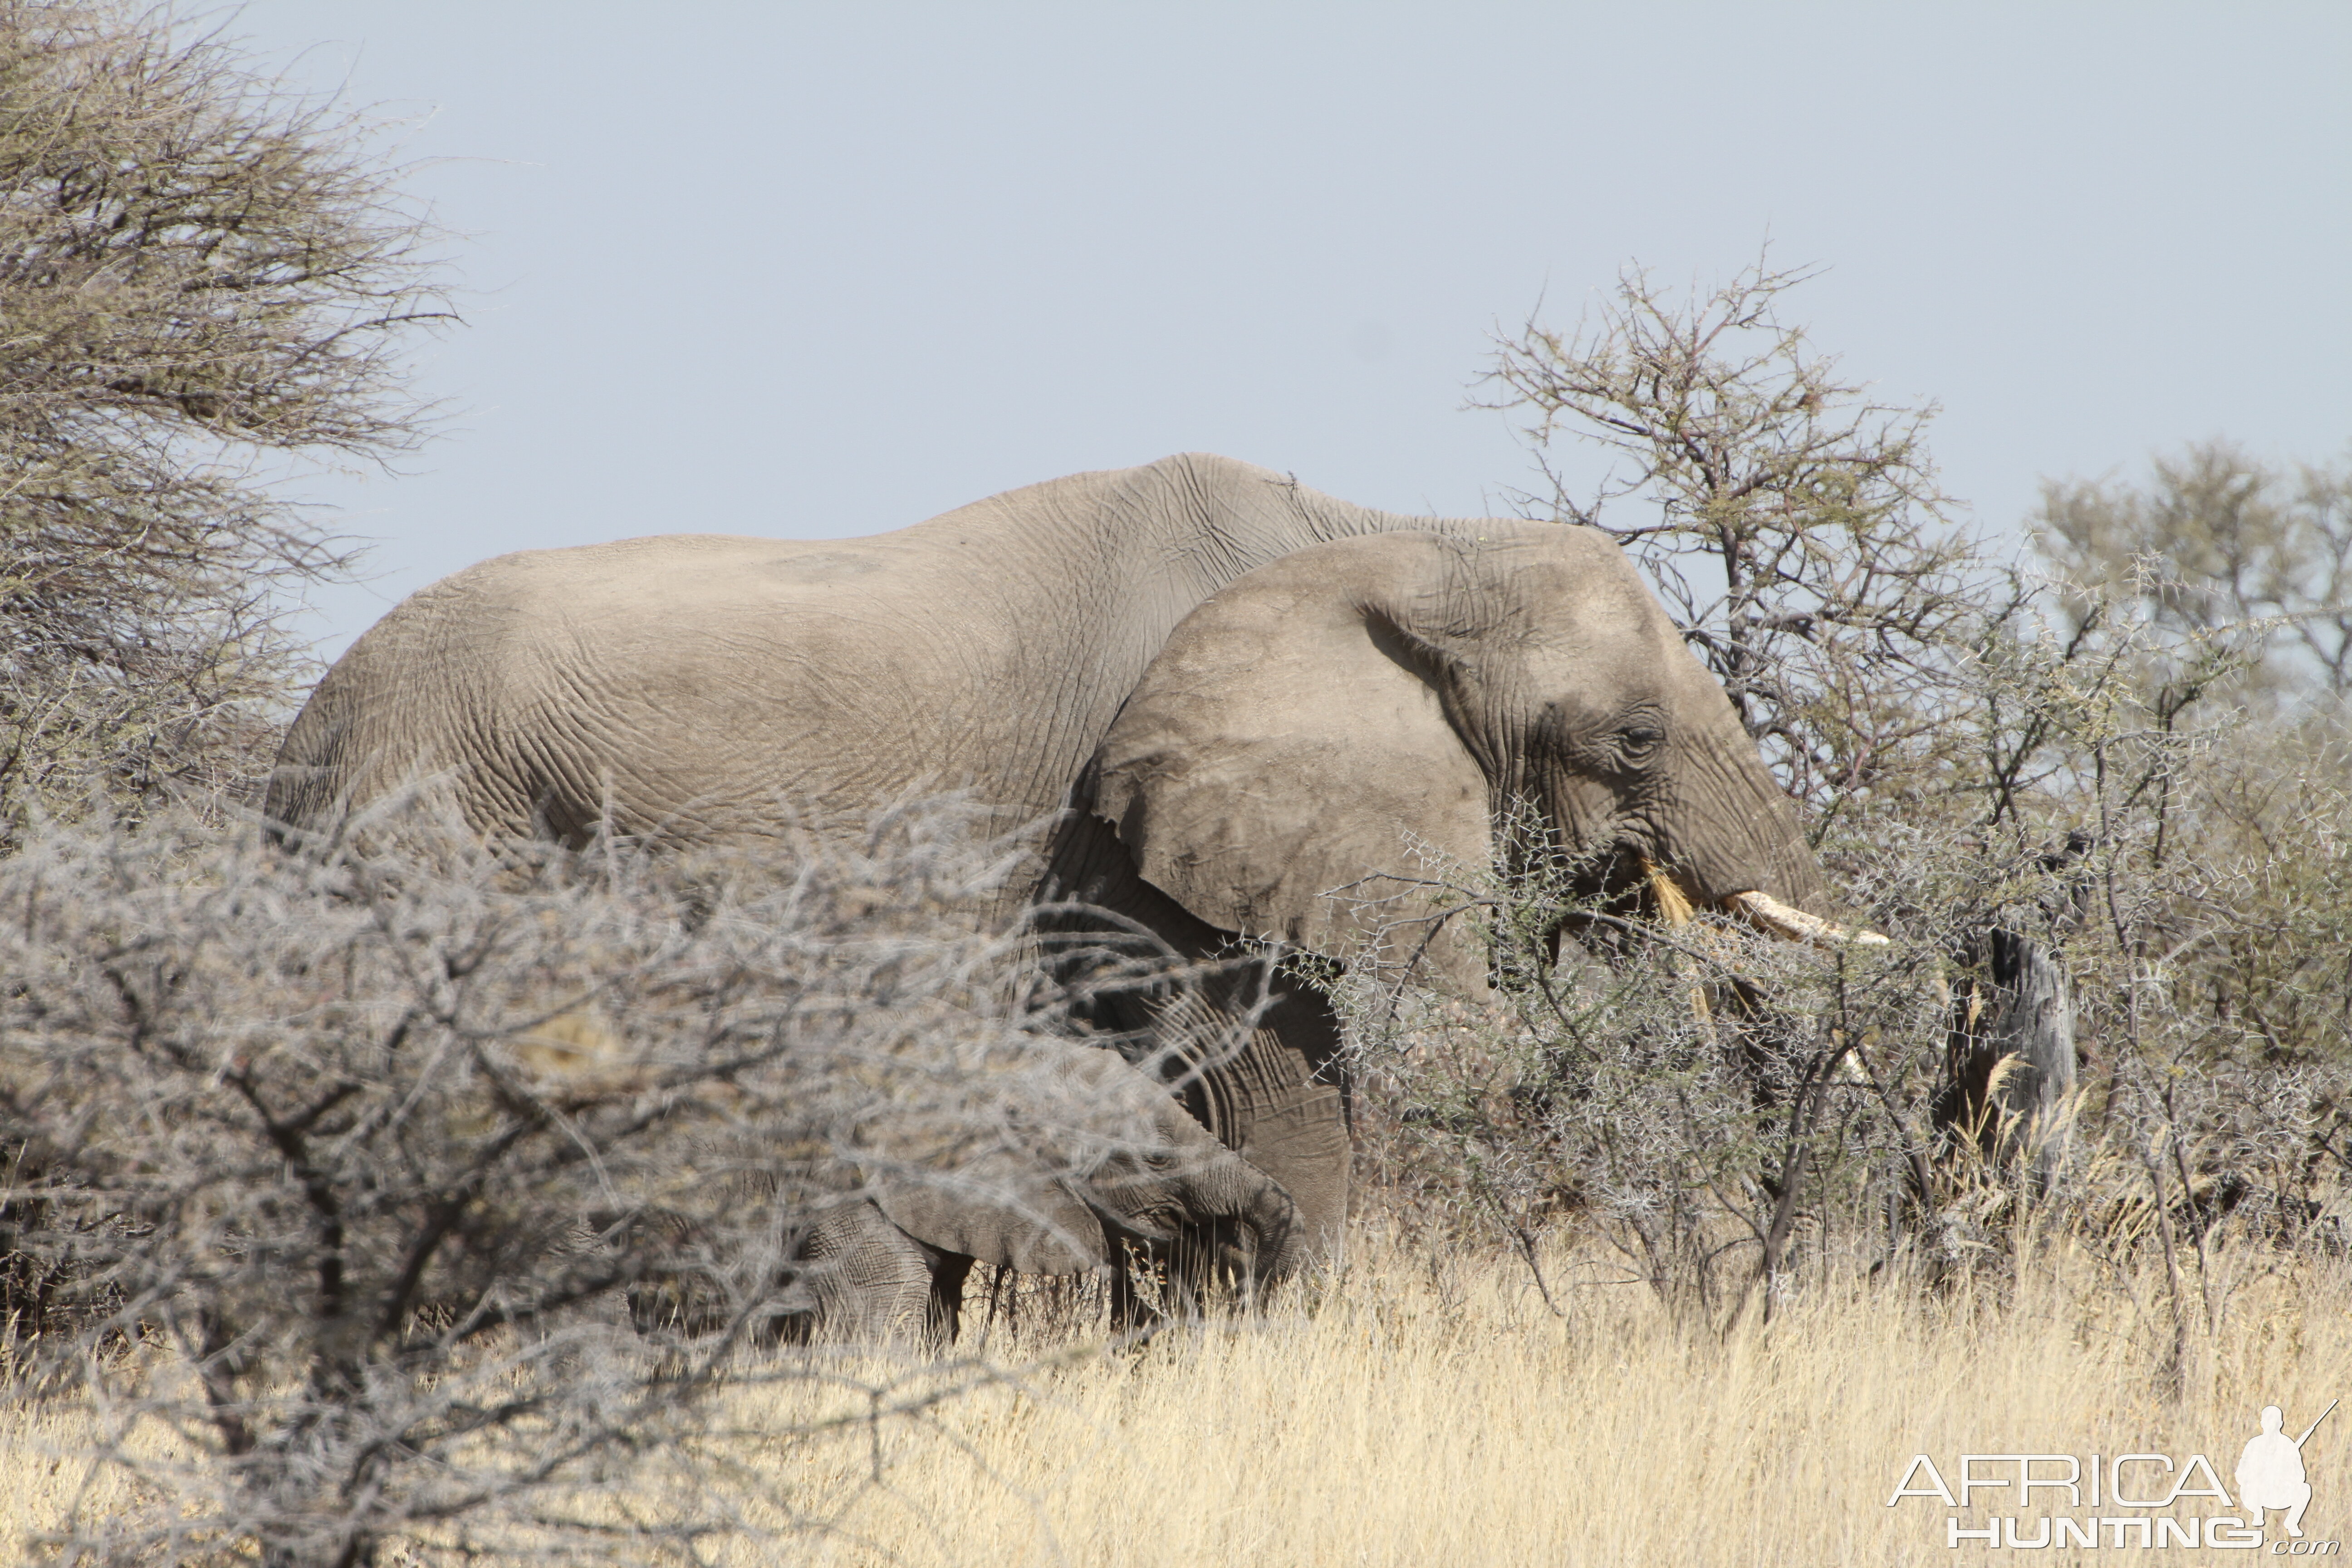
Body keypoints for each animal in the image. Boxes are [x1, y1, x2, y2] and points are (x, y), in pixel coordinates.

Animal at [275, 454, 1844, 1288]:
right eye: (1636, 736)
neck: (1395, 541)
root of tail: (296, 740)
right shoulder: (1136, 831)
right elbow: (1271, 1079)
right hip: (434, 833)